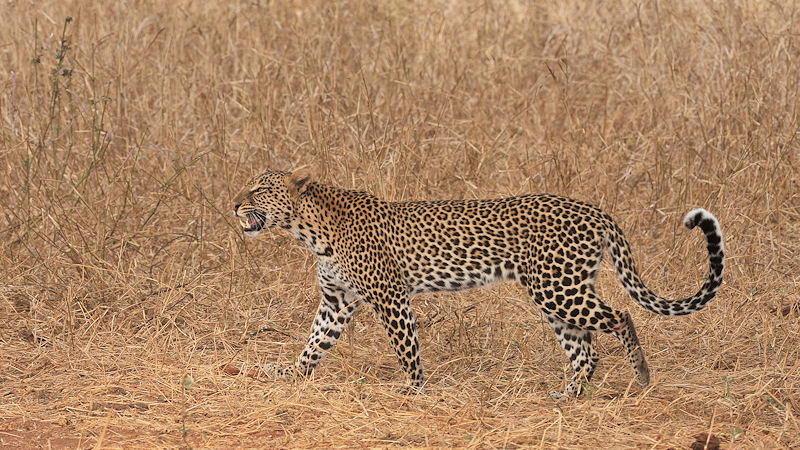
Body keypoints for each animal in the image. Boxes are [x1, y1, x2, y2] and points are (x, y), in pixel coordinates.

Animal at [232, 169, 724, 398]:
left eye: (257, 189)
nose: (233, 204)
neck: (309, 231)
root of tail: (598, 212)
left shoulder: (390, 297)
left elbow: (406, 346)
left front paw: (412, 389)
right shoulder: (337, 300)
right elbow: (314, 343)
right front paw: (291, 374)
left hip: (558, 288)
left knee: (620, 317)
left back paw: (640, 377)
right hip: (557, 291)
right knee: (586, 349)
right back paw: (569, 395)